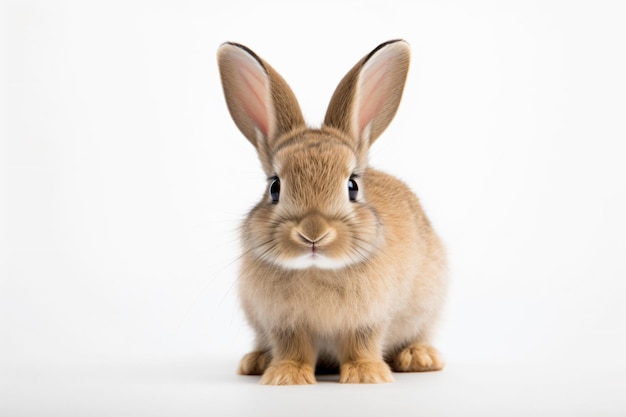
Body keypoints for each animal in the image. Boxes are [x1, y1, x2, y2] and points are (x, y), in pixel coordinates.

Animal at [217, 39, 446, 384]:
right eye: (274, 188)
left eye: (352, 186)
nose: (313, 233)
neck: (317, 269)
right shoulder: (283, 324)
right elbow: (293, 348)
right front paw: (286, 376)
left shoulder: (368, 319)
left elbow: (362, 344)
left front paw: (366, 375)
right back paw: (255, 362)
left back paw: (418, 357)